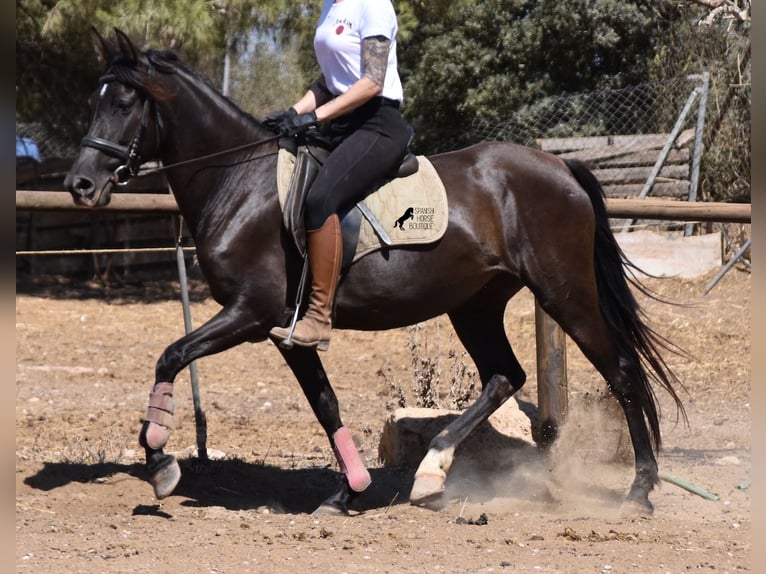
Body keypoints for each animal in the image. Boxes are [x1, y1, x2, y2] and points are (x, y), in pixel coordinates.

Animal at [66, 29, 688, 516]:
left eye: (124, 103)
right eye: (95, 100)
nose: (80, 184)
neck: (240, 182)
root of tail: (560, 165)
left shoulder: (250, 313)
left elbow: (170, 354)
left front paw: (160, 461)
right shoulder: (286, 331)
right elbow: (325, 404)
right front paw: (350, 491)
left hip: (565, 292)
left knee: (621, 371)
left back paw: (640, 490)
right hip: (476, 303)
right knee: (504, 375)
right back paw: (432, 473)